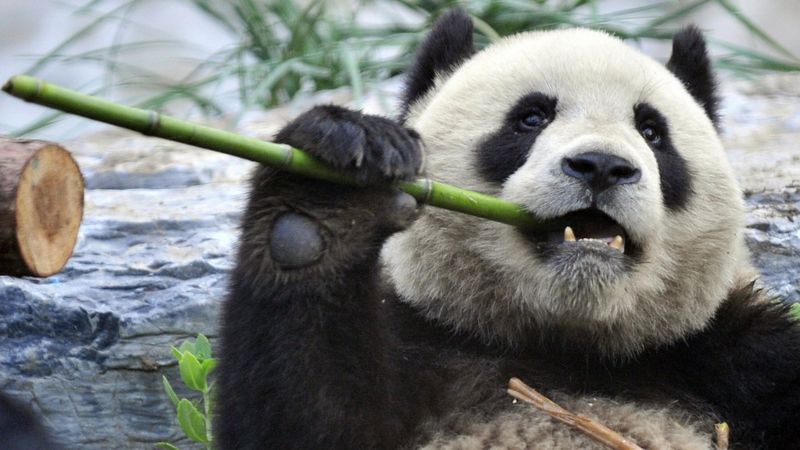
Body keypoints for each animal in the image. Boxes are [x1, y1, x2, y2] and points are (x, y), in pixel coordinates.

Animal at [212, 7, 800, 450]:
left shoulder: (733, 360)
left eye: (653, 131)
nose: (602, 166)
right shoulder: (422, 341)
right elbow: (308, 418)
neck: (567, 345)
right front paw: (329, 194)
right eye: (531, 118)